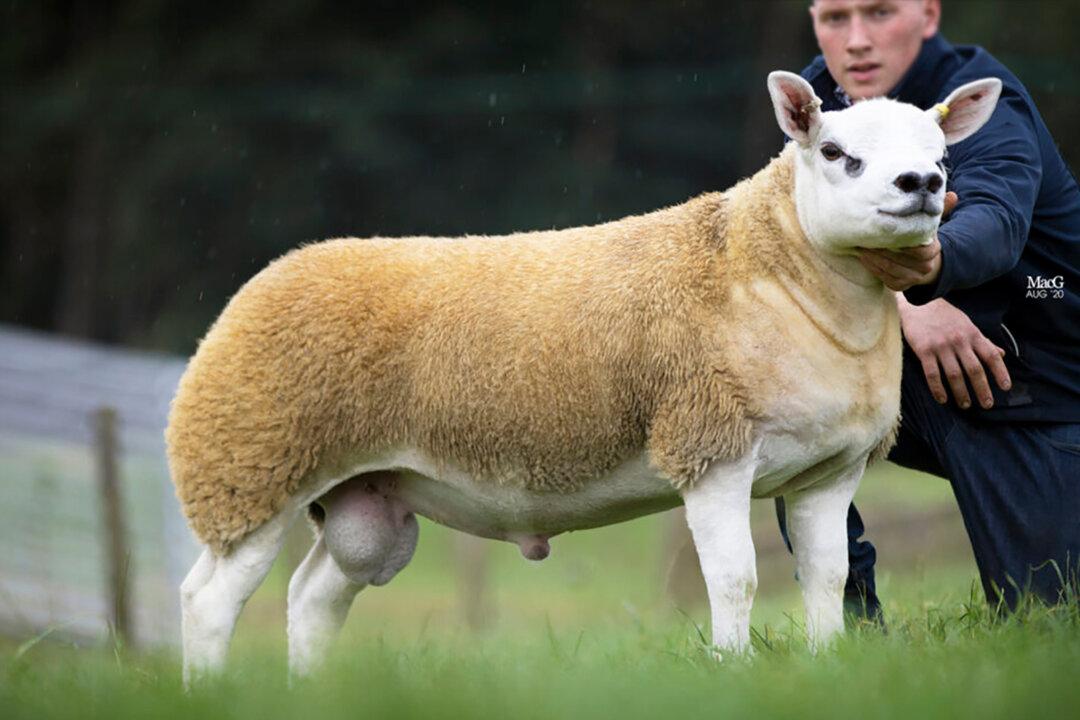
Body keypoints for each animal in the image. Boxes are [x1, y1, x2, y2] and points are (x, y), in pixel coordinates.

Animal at [166, 71, 1001, 683]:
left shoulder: (831, 471)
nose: (920, 183)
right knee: (207, 601)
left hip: (364, 500)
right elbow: (736, 579)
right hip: (249, 465)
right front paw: (731, 670)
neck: (776, 272)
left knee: (312, 597)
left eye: (942, 153)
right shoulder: (709, 446)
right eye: (833, 151)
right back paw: (208, 692)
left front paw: (826, 667)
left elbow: (828, 579)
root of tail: (271, 275)